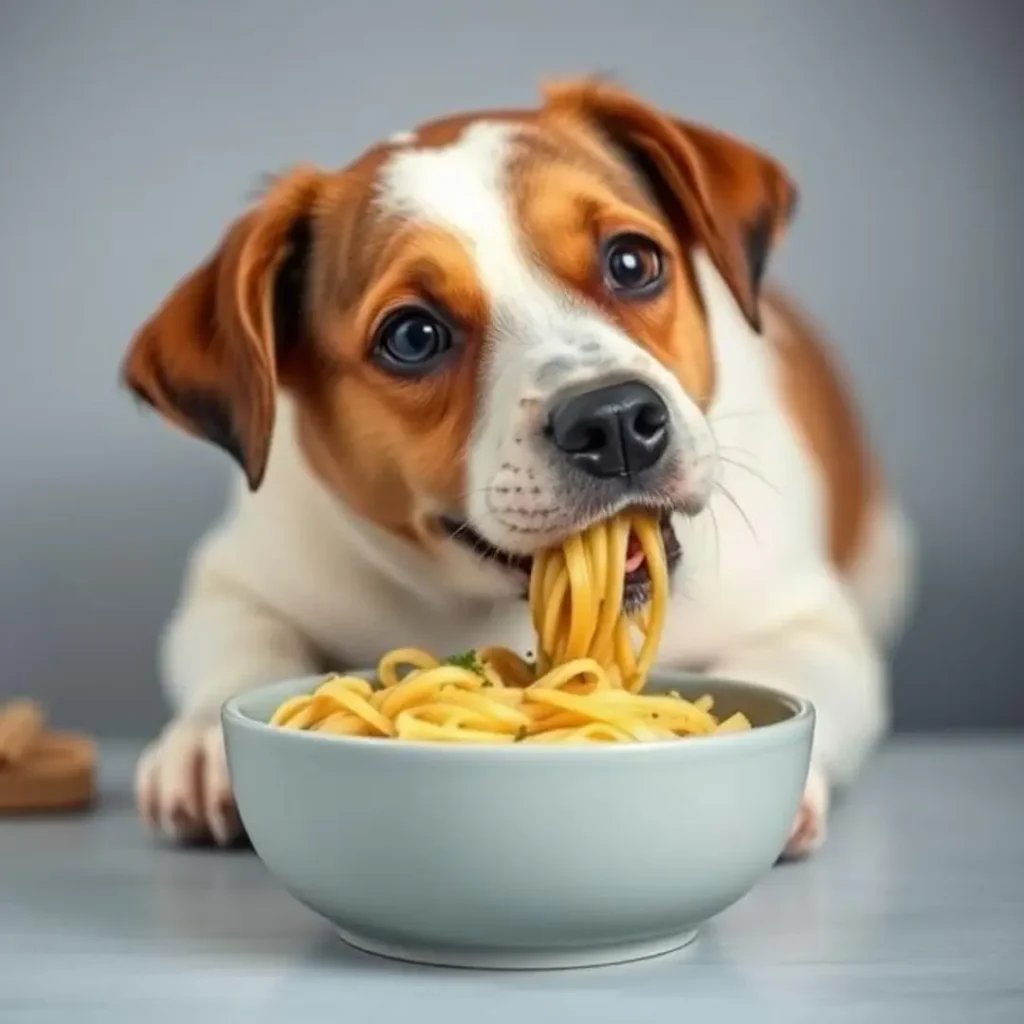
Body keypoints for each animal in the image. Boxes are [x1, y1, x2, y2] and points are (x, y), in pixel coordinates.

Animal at [119, 77, 913, 856]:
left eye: (633, 261)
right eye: (412, 336)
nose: (615, 421)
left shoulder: (811, 621)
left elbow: (784, 666)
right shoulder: (235, 580)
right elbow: (245, 647)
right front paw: (203, 745)